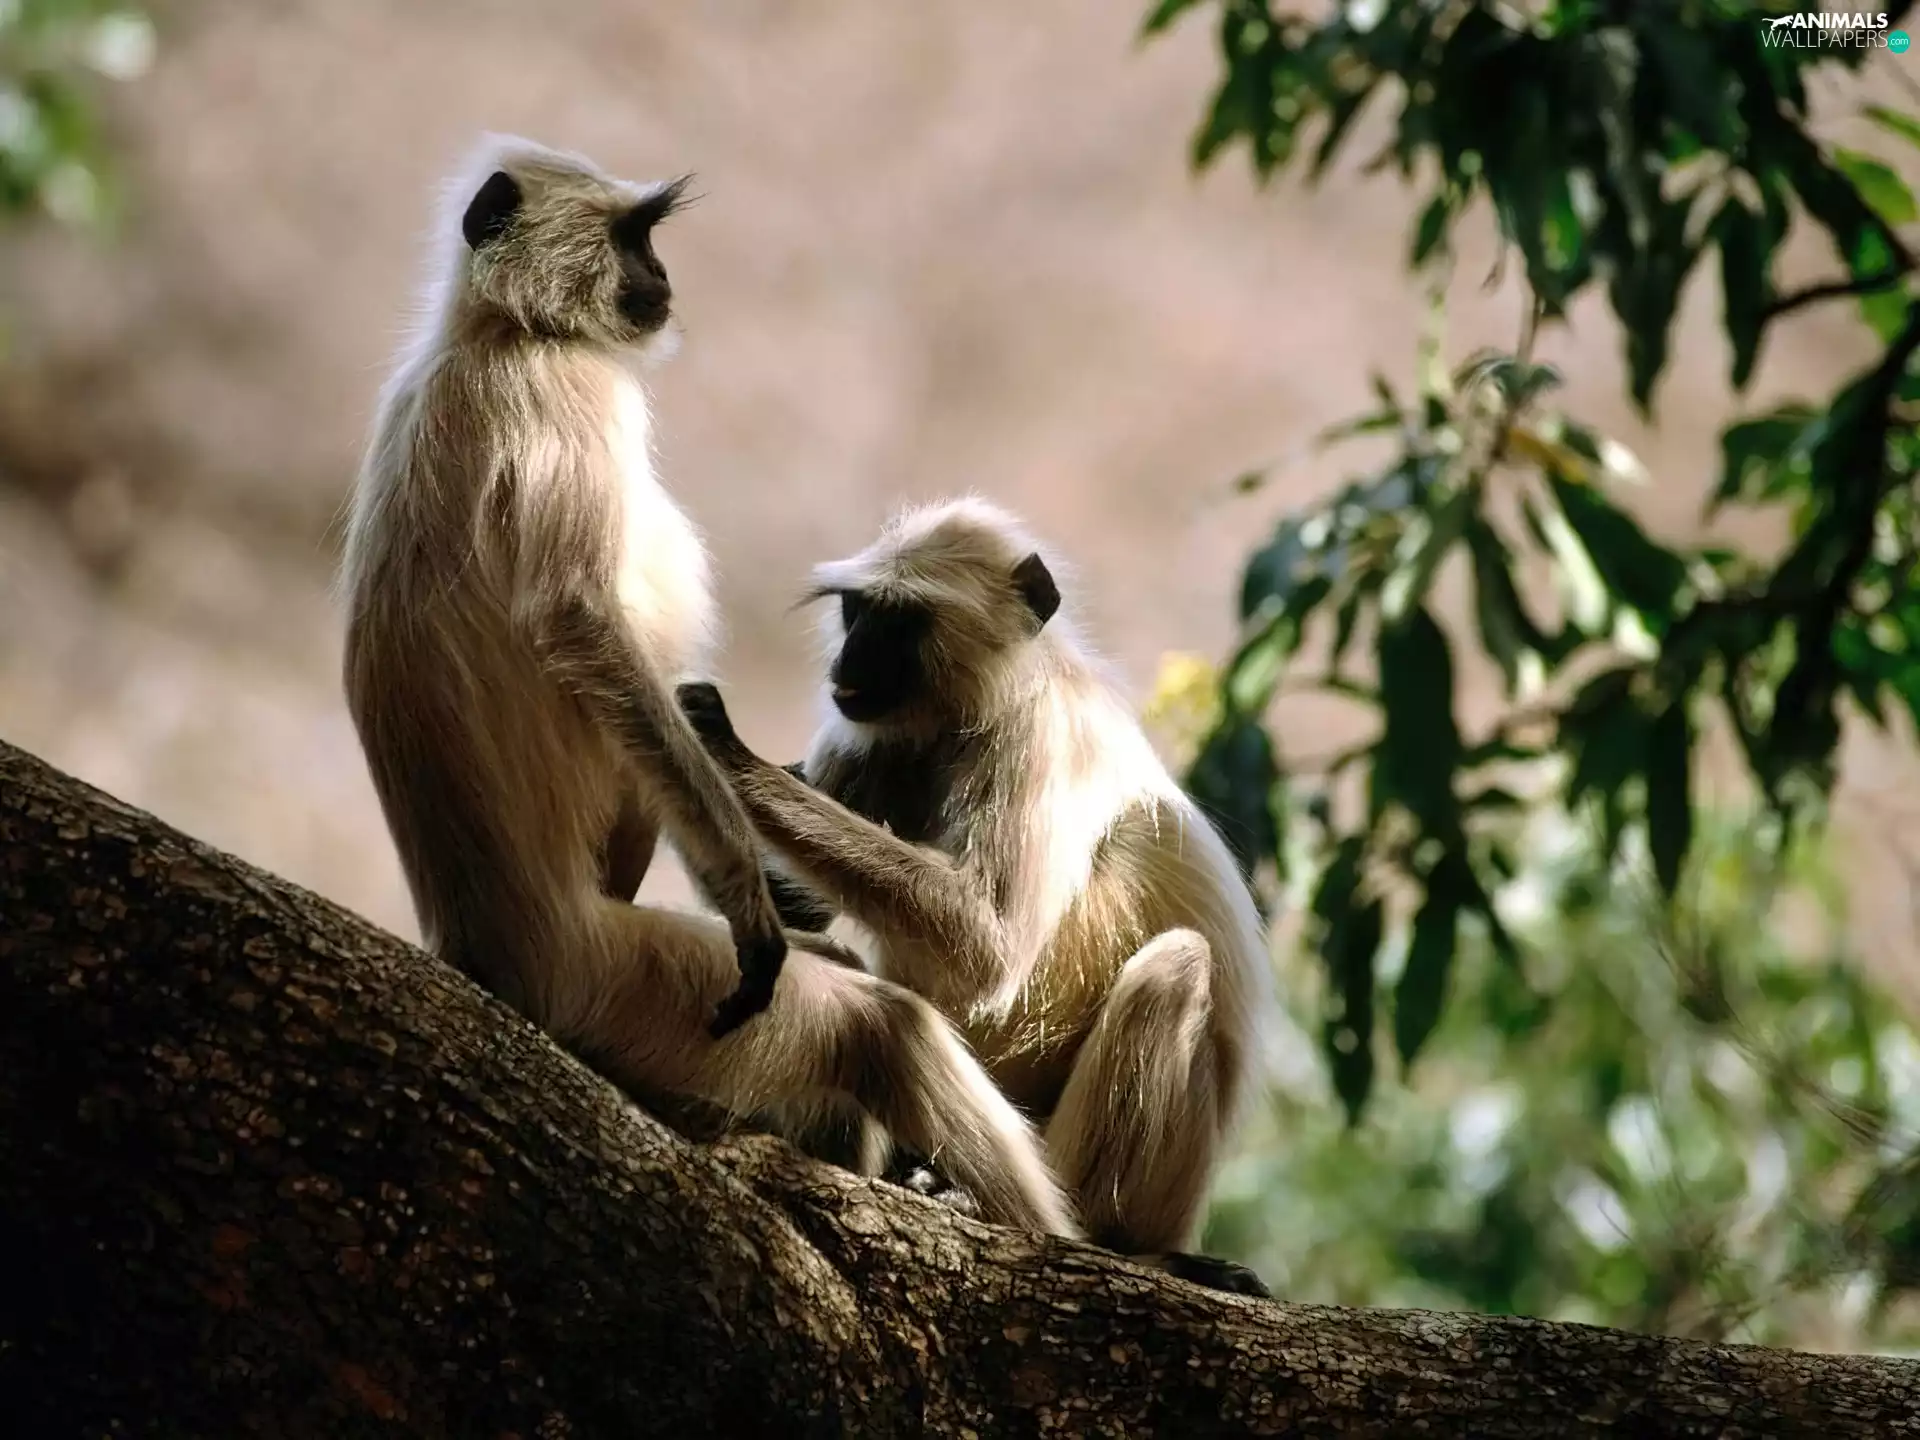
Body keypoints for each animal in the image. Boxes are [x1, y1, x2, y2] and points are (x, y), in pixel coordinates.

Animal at [337, 137, 1079, 1239]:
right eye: (633, 235)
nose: (663, 278)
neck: (495, 336)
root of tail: (483, 955)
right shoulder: (565, 394)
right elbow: (576, 622)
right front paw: (745, 894)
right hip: (623, 984)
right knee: (881, 1028)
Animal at [676, 497, 1277, 1296]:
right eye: (857, 612)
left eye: (898, 623)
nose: (848, 661)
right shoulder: (870, 738)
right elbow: (794, 911)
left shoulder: (1041, 735)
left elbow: (986, 948)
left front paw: (725, 750)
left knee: (1176, 967)